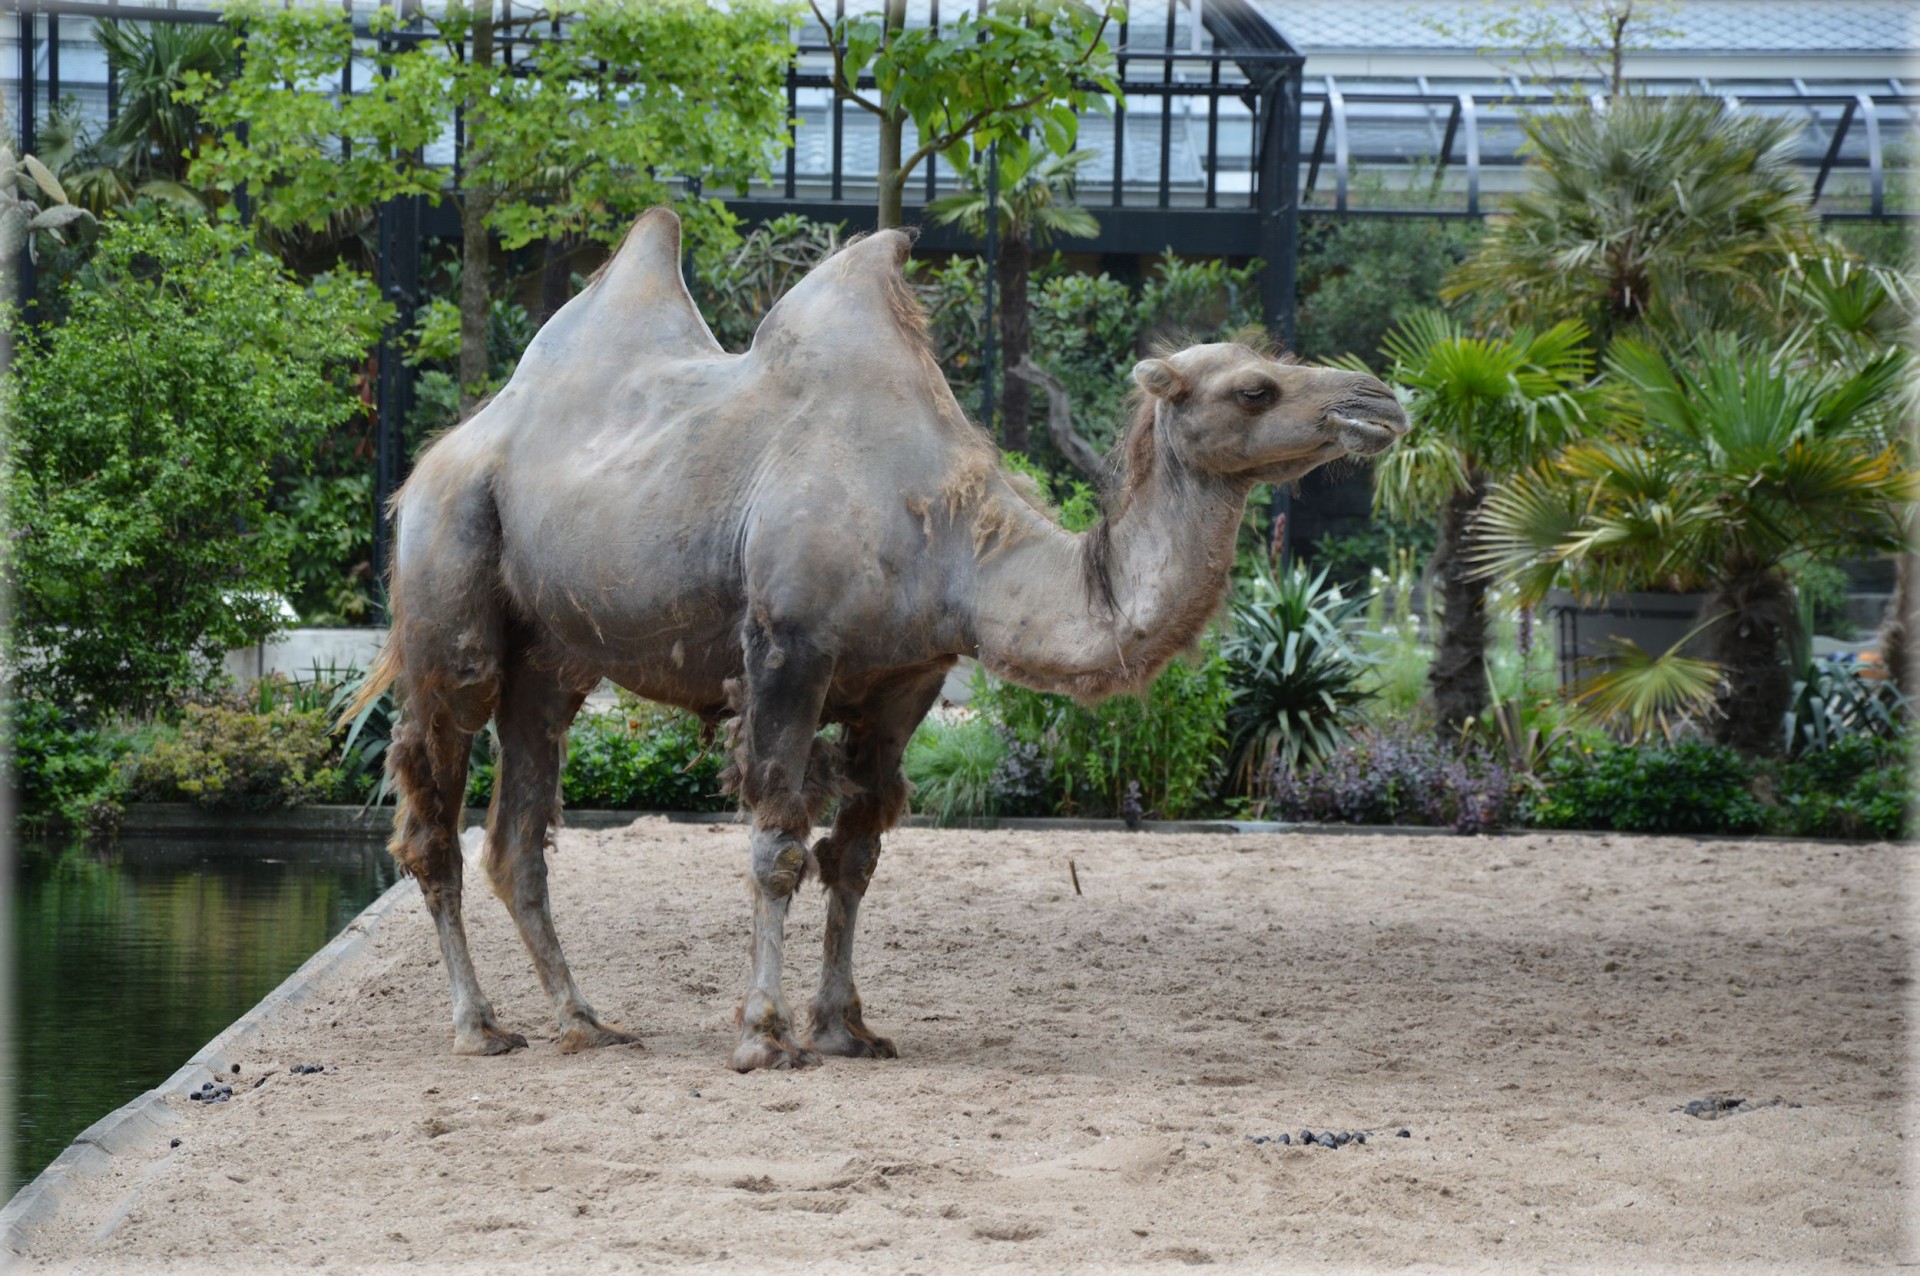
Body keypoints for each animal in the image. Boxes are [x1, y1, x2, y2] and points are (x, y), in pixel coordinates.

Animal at [353, 206, 1405, 1066]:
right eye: (1257, 388)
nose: (1379, 400)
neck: (956, 547)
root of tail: (439, 458)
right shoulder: (789, 650)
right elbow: (778, 846)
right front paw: (764, 1035)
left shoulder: (909, 678)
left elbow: (853, 857)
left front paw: (847, 1027)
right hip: (451, 590)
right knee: (434, 814)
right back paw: (479, 1026)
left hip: (553, 659)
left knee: (517, 836)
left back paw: (583, 1020)